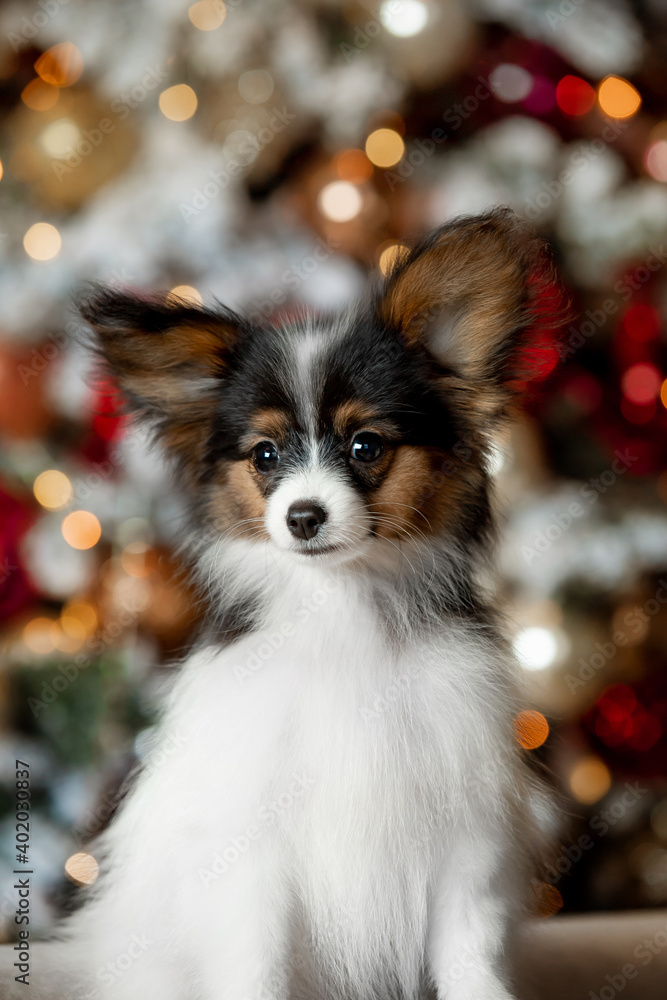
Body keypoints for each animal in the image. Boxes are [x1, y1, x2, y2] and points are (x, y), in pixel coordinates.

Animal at [9, 207, 560, 996]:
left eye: (365, 447)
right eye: (264, 456)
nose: (303, 517)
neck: (340, 608)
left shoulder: (463, 835)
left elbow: (468, 955)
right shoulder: (252, 851)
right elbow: (257, 964)